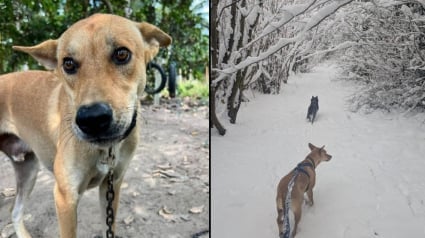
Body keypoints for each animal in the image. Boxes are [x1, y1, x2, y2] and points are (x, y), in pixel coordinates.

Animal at [0, 13, 172, 238]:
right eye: (68, 63)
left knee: (15, 211)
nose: (92, 119)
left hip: (27, 170)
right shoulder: (65, 198)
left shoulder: (112, 185)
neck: (105, 150)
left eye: (122, 54)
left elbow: (109, 227)